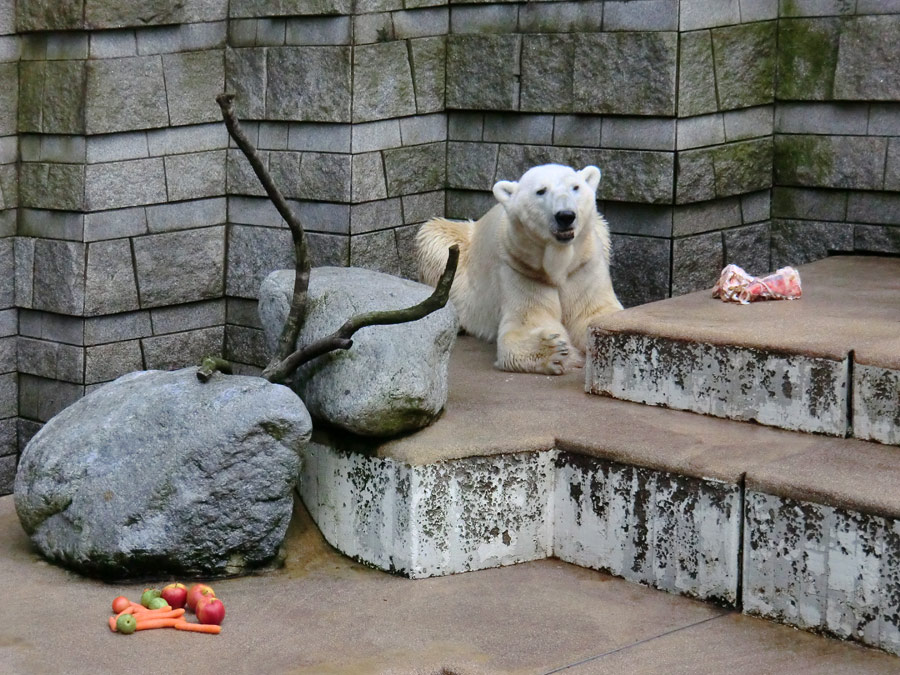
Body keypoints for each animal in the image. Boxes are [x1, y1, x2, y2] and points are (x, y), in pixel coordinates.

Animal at [416, 164, 624, 374]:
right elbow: (528, 321)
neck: (559, 263)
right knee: (436, 238)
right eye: (541, 191)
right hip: (457, 249)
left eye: (575, 187)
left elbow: (594, 314)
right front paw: (555, 351)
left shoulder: (583, 265)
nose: (565, 216)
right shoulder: (521, 267)